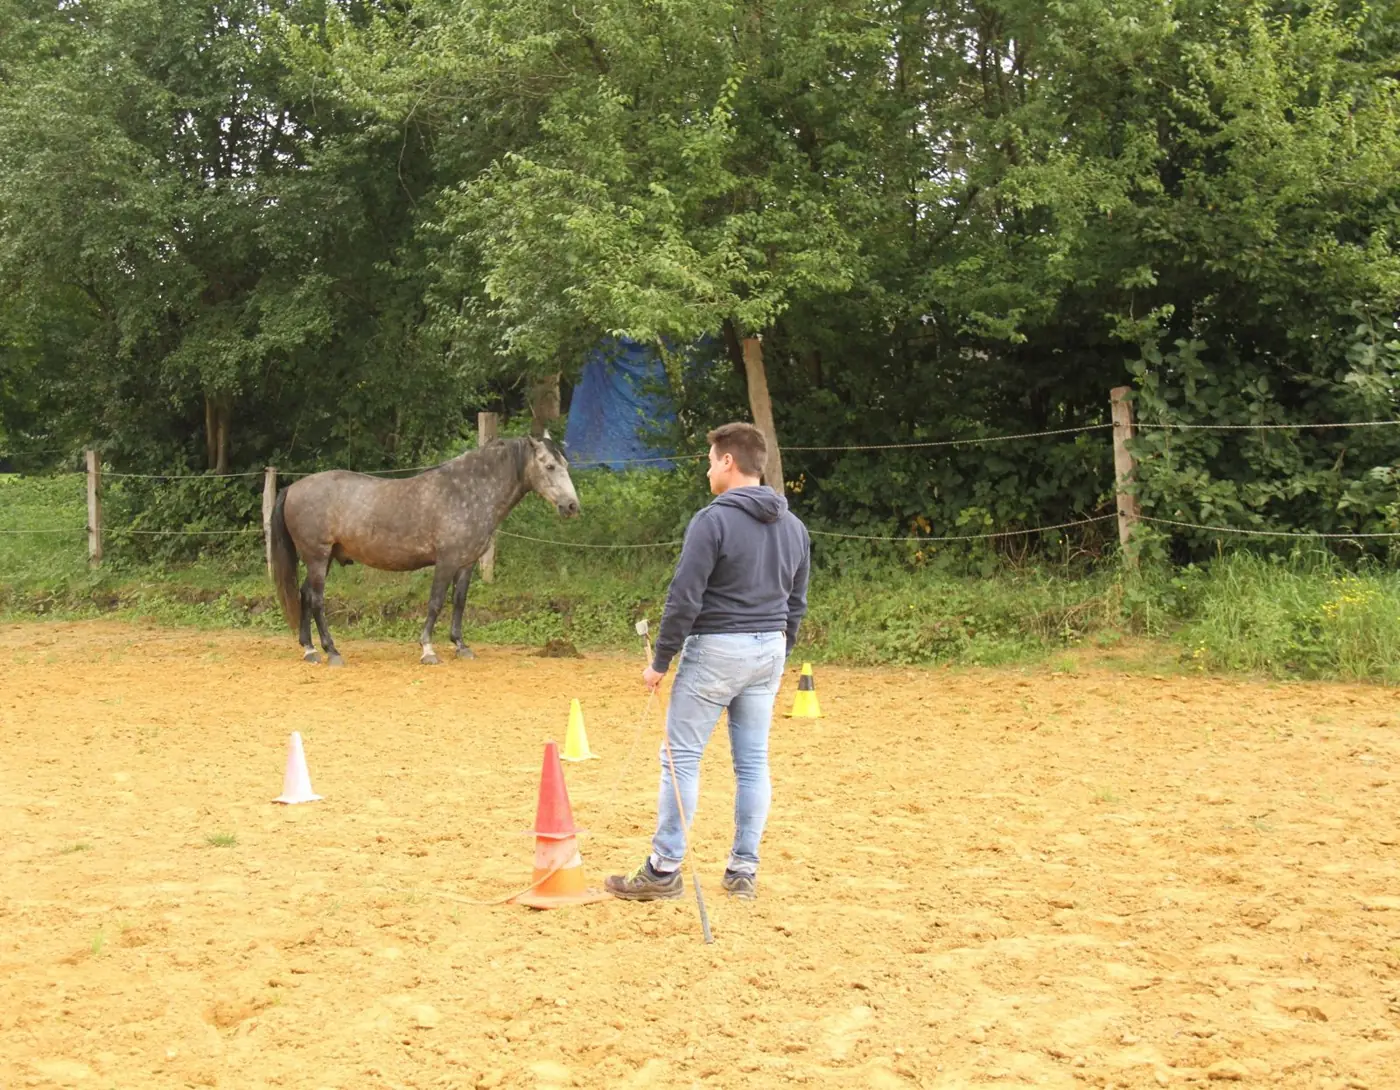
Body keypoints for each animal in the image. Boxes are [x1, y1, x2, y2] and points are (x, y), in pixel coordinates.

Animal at [268, 435, 580, 666]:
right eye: (549, 466)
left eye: (565, 463)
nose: (572, 506)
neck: (469, 491)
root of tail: (293, 487)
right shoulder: (446, 561)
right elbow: (436, 602)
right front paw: (428, 649)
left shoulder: (465, 563)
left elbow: (459, 602)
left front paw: (461, 645)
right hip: (317, 557)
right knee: (317, 600)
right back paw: (331, 651)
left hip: (324, 558)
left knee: (305, 595)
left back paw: (310, 650)